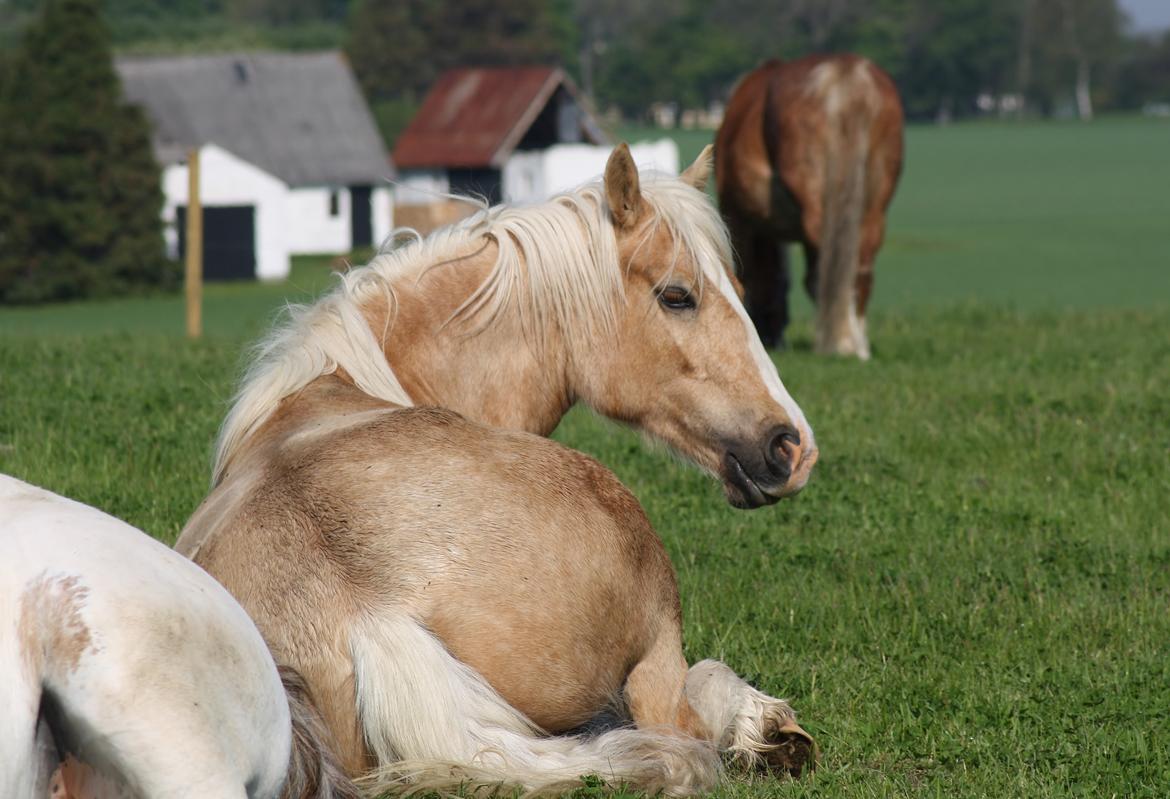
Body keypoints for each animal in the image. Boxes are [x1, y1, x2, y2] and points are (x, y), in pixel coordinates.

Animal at [711, 53, 903, 360]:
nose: (771, 338)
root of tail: (845, 71)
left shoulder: (738, 218)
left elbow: (749, 274)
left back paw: (839, 340)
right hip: (874, 208)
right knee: (860, 266)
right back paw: (857, 342)